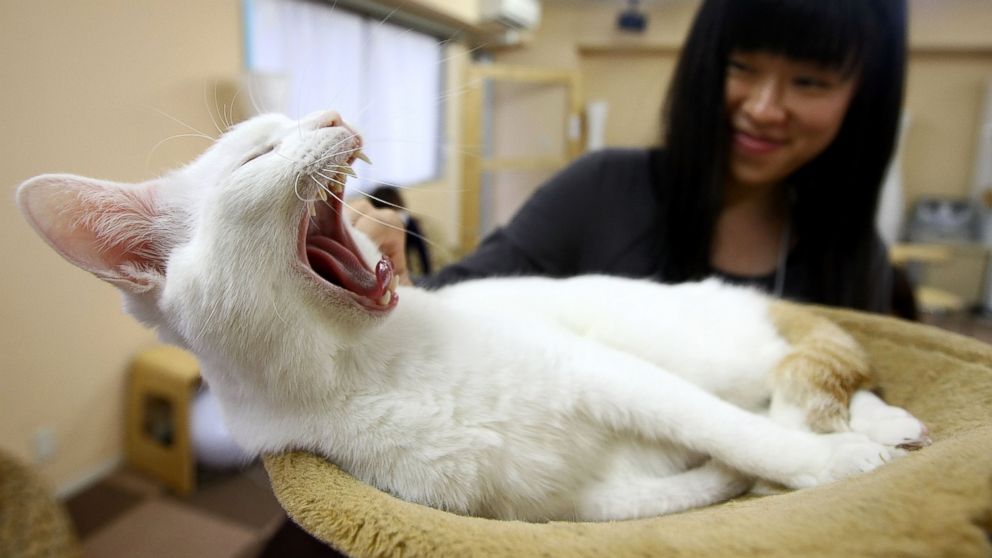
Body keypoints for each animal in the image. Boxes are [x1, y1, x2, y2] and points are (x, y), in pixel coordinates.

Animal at [15, 110, 928, 524]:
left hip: (692, 348)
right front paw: (764, 475)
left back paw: (881, 427)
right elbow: (657, 492)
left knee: (801, 384)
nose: (334, 116)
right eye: (258, 153)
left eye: (298, 123)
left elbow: (736, 434)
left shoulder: (606, 375)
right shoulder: (551, 509)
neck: (374, 369)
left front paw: (829, 468)